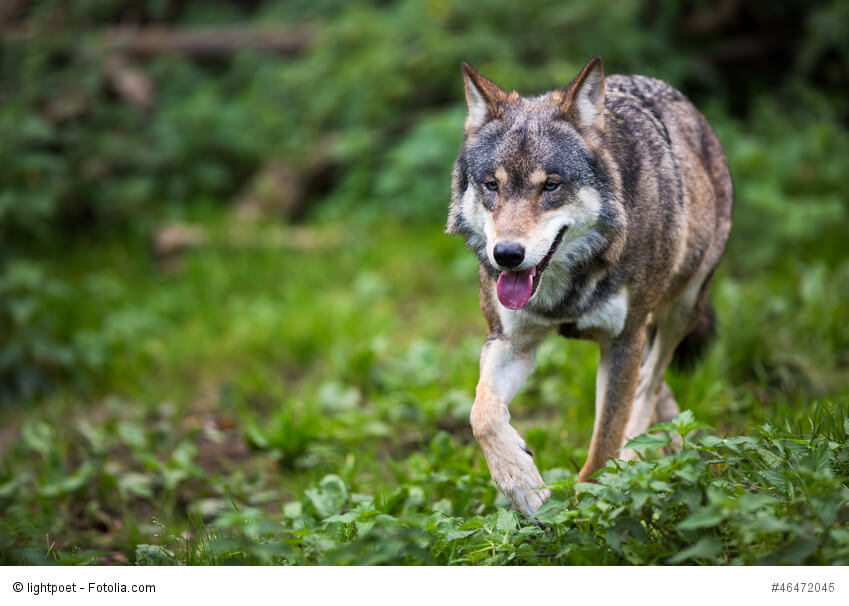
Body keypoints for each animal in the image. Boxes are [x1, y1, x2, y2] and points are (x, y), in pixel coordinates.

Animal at [446, 57, 733, 515]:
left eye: (550, 185)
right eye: (492, 185)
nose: (506, 254)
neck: (565, 289)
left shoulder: (623, 340)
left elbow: (604, 443)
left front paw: (592, 507)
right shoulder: (510, 343)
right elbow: (482, 414)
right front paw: (521, 483)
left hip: (680, 310)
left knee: (649, 383)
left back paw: (639, 455)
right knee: (655, 390)